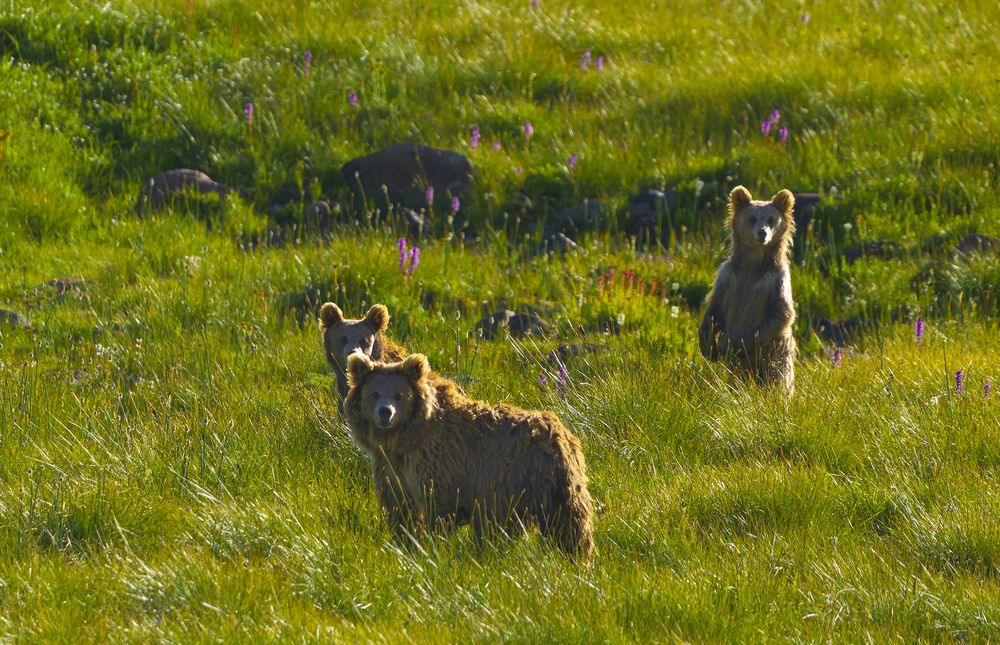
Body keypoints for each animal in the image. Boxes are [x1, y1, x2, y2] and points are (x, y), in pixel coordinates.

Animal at [344, 352, 595, 558]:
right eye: (374, 393)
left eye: (399, 395)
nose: (385, 412)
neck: (404, 439)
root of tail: (559, 437)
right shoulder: (391, 467)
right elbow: (399, 507)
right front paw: (405, 542)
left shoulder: (439, 461)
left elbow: (438, 506)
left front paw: (432, 544)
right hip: (560, 485)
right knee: (569, 524)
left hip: (504, 478)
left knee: (498, 524)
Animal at [699, 186, 797, 391]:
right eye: (752, 217)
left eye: (771, 219)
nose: (762, 233)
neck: (753, 264)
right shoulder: (727, 278)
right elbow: (714, 308)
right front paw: (709, 348)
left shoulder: (775, 282)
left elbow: (781, 314)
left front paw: (732, 346)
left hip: (776, 352)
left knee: (778, 376)